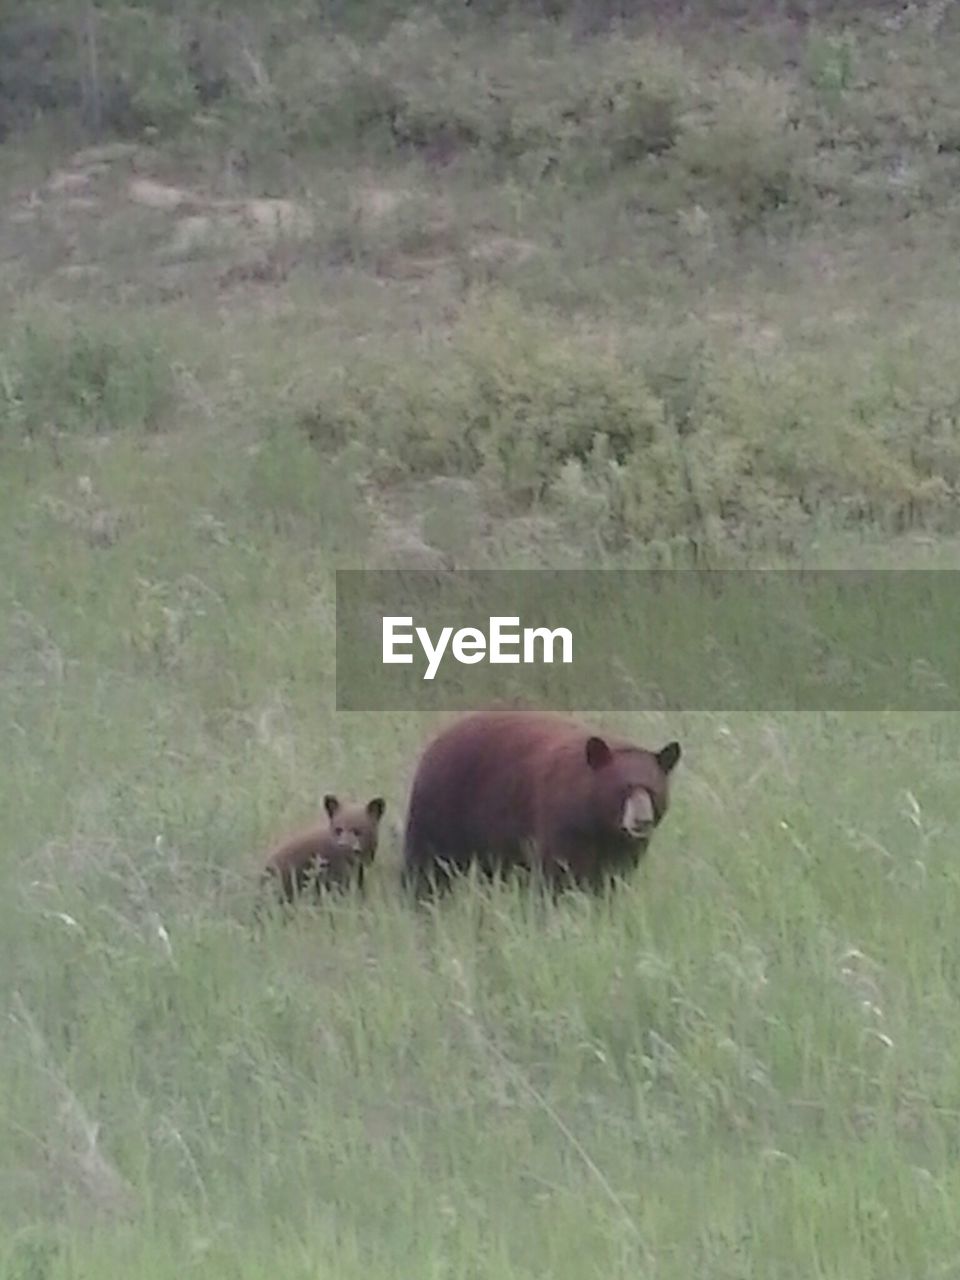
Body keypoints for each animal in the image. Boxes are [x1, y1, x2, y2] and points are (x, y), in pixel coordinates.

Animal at [401, 711, 680, 901]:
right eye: (623, 788)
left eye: (652, 790)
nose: (642, 821)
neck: (597, 822)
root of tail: (435, 743)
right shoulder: (561, 824)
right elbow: (557, 873)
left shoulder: (623, 846)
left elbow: (613, 878)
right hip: (442, 805)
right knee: (427, 864)